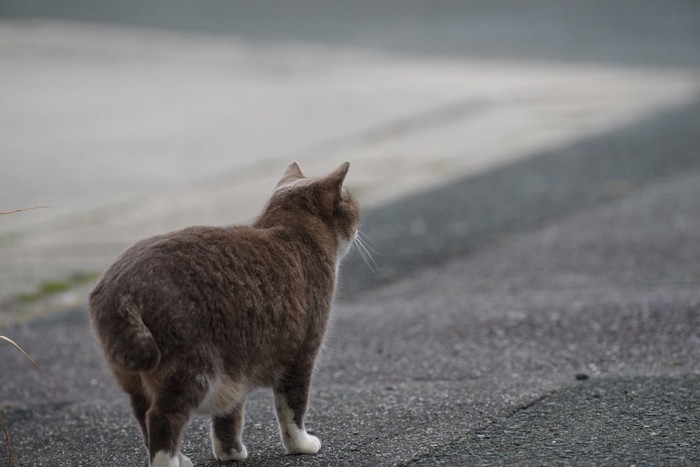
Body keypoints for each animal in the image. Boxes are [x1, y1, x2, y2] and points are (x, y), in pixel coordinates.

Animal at [89, 162, 358, 467]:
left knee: (143, 416)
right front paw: (302, 445)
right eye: (351, 202)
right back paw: (171, 461)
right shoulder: (302, 354)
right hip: (192, 369)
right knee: (161, 418)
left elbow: (229, 415)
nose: (358, 224)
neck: (291, 230)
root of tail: (122, 290)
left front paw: (230, 453)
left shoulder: (235, 364)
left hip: (138, 380)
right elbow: (292, 408)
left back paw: (182, 457)